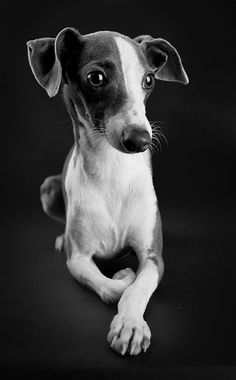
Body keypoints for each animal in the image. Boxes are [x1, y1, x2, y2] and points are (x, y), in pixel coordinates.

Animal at [26, 27, 189, 356]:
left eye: (148, 80)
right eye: (96, 78)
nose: (140, 140)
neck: (113, 172)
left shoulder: (153, 256)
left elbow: (137, 289)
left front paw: (130, 326)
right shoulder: (78, 260)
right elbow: (114, 288)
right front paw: (124, 275)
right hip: (48, 188)